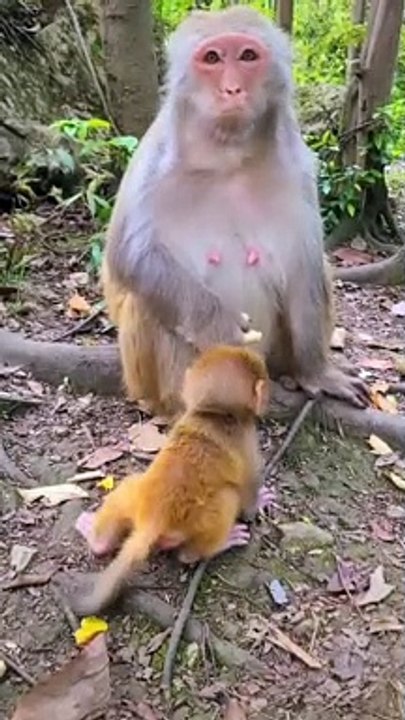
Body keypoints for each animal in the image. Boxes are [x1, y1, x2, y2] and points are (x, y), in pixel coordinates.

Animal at [71, 345, 274, 616]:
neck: (213, 414)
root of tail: (152, 519)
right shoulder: (247, 438)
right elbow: (249, 492)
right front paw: (259, 502)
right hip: (194, 522)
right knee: (226, 499)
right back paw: (213, 546)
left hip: (133, 496)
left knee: (126, 491)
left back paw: (96, 538)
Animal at [102, 6, 369, 417]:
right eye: (212, 58)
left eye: (247, 56)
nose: (231, 89)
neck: (226, 156)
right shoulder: (154, 161)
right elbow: (130, 257)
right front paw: (220, 326)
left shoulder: (296, 167)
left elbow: (304, 262)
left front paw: (318, 373)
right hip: (144, 381)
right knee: (145, 300)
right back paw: (188, 403)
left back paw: (292, 375)